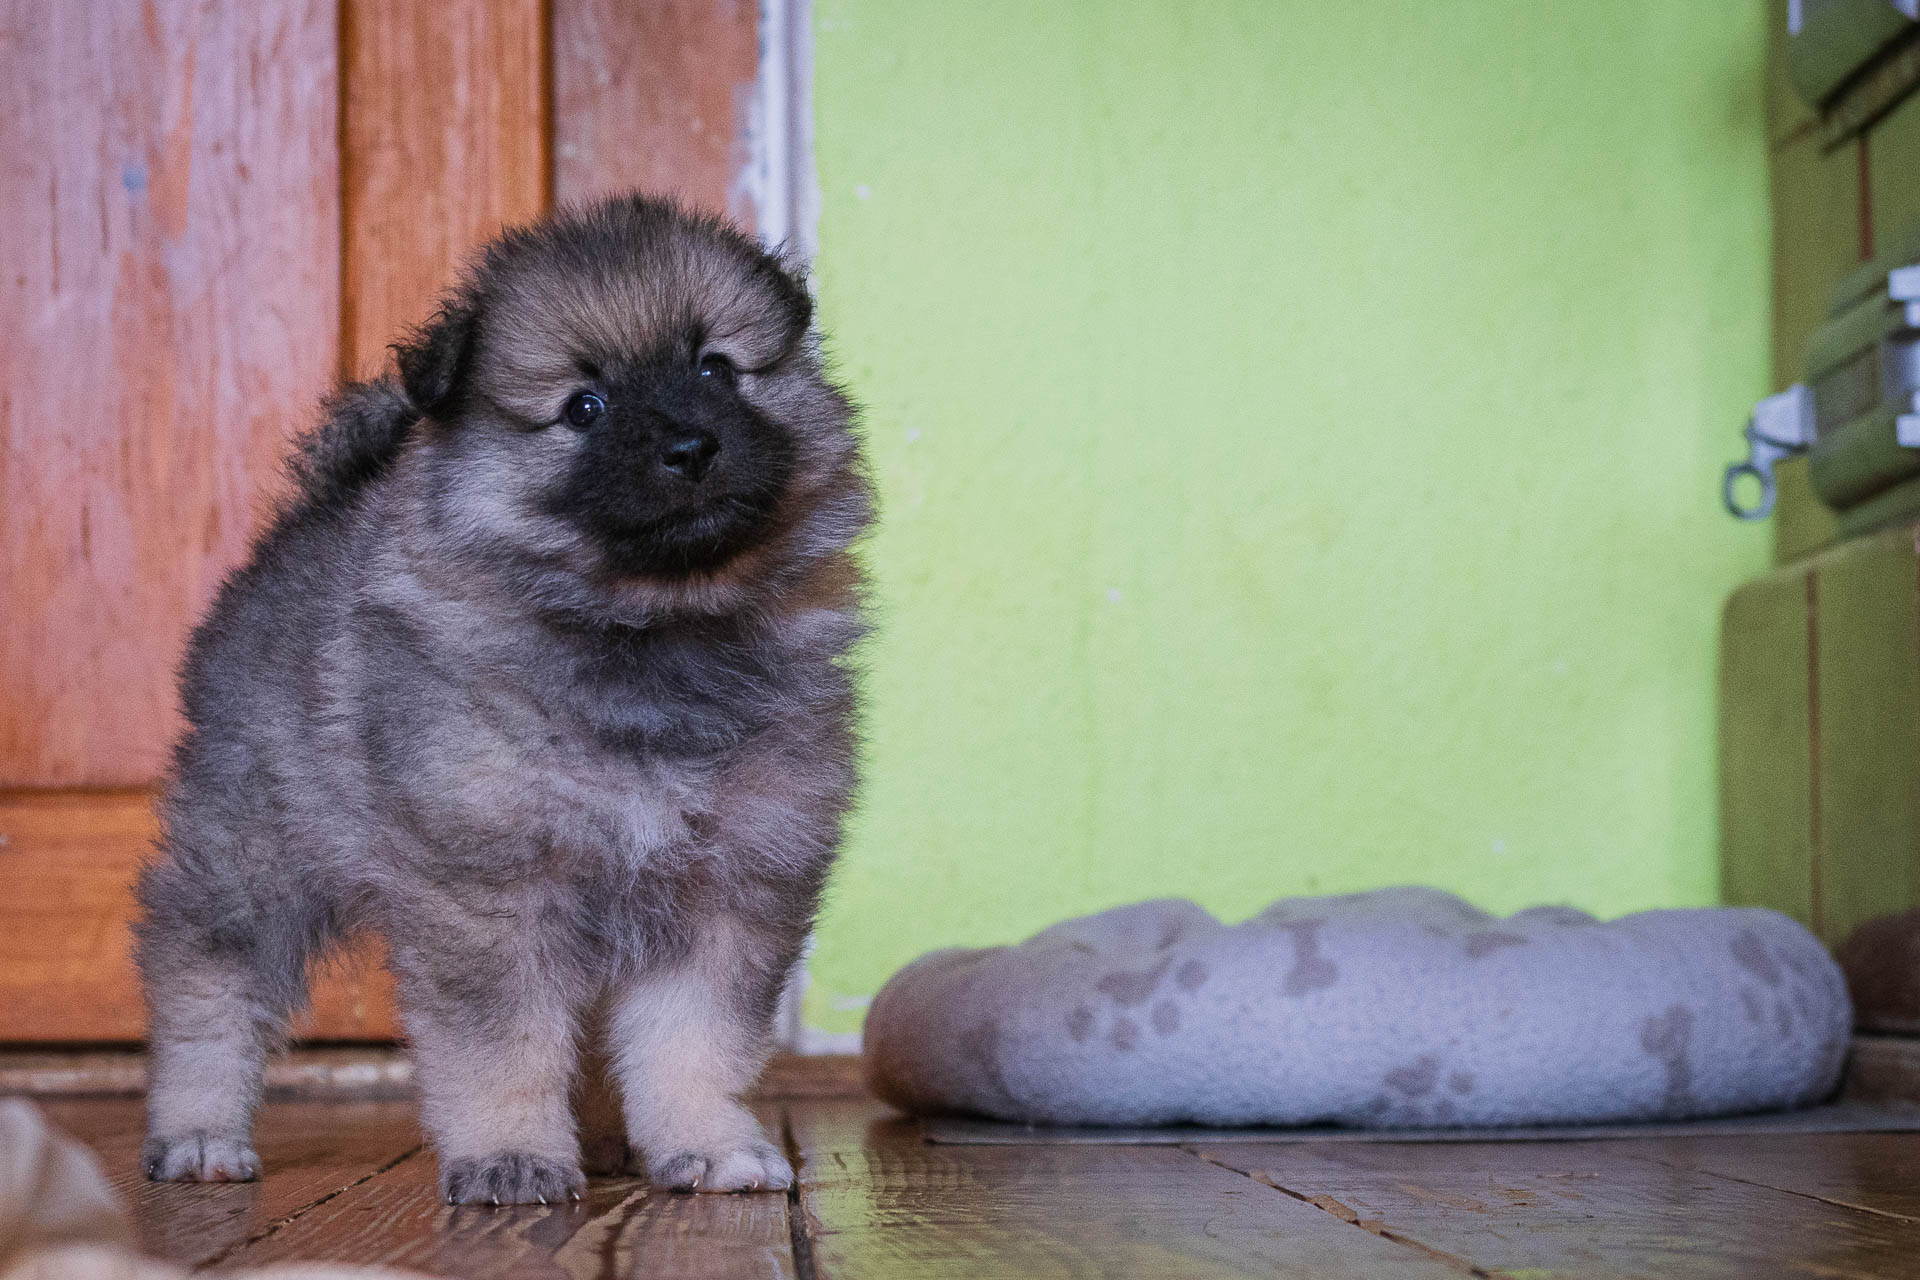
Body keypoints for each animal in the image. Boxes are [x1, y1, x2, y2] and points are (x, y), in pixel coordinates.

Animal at [127, 195, 864, 1205]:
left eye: (717, 368)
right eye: (584, 408)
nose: (691, 447)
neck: (647, 630)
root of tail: (308, 520)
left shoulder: (729, 885)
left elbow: (694, 1042)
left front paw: (706, 1143)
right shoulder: (492, 886)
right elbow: (503, 1046)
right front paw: (512, 1155)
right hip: (255, 853)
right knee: (206, 982)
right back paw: (199, 1131)